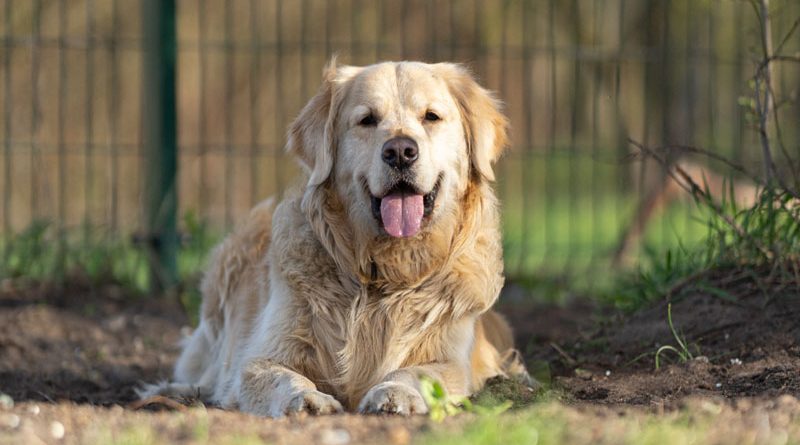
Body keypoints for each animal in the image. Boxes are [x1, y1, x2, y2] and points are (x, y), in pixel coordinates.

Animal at [142, 59, 532, 416]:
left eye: (431, 117)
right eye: (367, 120)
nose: (400, 151)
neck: (382, 277)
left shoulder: (451, 359)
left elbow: (417, 372)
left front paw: (395, 393)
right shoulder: (261, 356)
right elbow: (279, 376)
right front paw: (306, 398)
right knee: (206, 366)